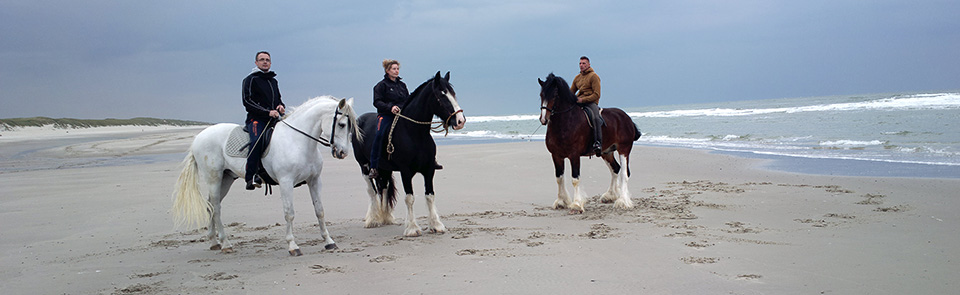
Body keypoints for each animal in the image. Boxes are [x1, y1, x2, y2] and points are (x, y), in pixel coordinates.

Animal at [171, 96, 358, 256]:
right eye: (342, 124)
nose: (343, 153)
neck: (297, 141)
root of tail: (198, 137)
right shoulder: (286, 182)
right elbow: (289, 213)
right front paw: (293, 246)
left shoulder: (314, 181)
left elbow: (320, 211)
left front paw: (329, 241)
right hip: (214, 179)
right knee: (216, 208)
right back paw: (225, 244)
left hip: (226, 179)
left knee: (210, 205)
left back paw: (213, 242)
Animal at [352, 71, 464, 238]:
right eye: (441, 95)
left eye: (453, 93)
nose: (460, 120)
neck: (414, 134)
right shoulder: (405, 171)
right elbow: (409, 198)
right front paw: (412, 228)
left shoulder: (429, 170)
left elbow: (430, 195)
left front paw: (436, 225)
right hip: (364, 166)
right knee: (372, 191)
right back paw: (372, 219)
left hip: (384, 169)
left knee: (383, 188)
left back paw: (386, 218)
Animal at [536, 73, 640, 214]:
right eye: (541, 95)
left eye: (555, 96)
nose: (543, 119)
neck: (565, 122)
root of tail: (626, 117)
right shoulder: (556, 156)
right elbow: (559, 178)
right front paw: (561, 202)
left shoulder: (574, 155)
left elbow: (575, 179)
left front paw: (576, 204)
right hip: (607, 152)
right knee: (615, 169)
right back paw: (610, 195)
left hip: (624, 149)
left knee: (624, 173)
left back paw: (622, 201)